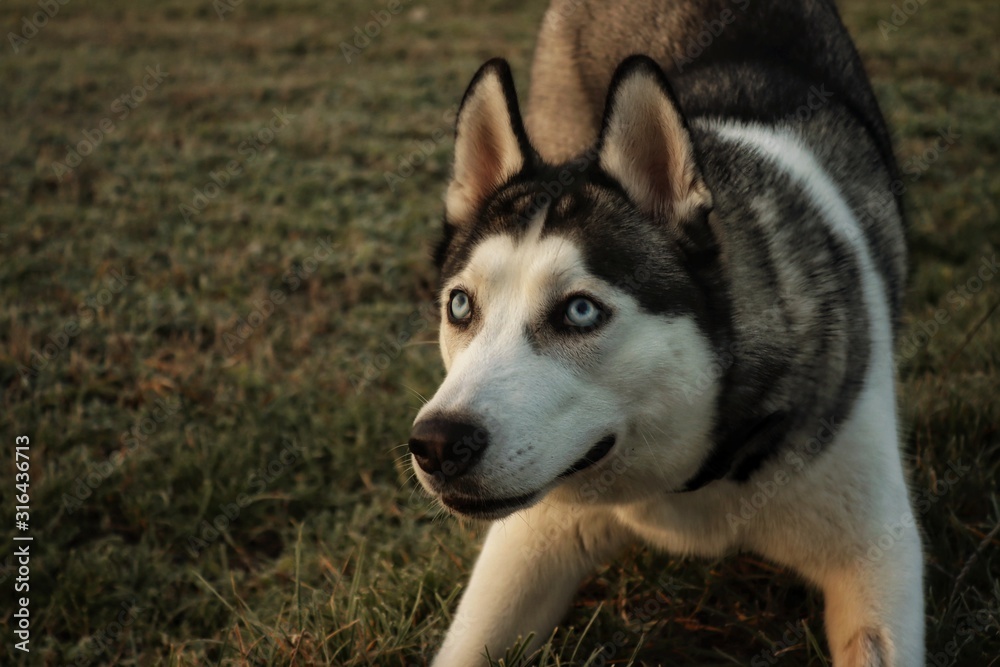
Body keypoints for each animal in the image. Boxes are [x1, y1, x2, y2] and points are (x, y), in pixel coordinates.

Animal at [406, 0, 920, 664]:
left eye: (580, 312)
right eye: (461, 305)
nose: (437, 443)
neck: (684, 480)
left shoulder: (874, 553)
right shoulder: (533, 536)